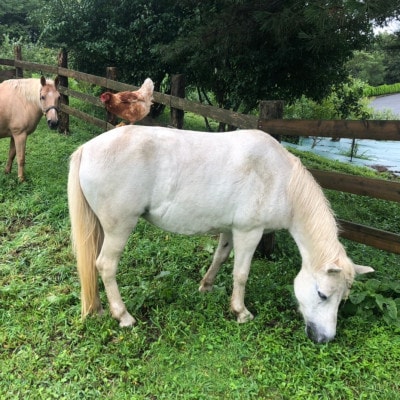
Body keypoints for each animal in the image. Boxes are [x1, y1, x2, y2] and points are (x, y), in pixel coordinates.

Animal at [69, 126, 376, 344]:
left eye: (342, 299)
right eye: (322, 294)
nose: (325, 339)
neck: (281, 179)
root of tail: (87, 149)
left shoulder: (230, 229)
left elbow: (220, 257)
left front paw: (206, 286)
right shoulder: (249, 232)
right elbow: (241, 274)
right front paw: (240, 311)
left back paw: (98, 308)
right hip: (119, 228)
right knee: (106, 266)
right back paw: (123, 316)